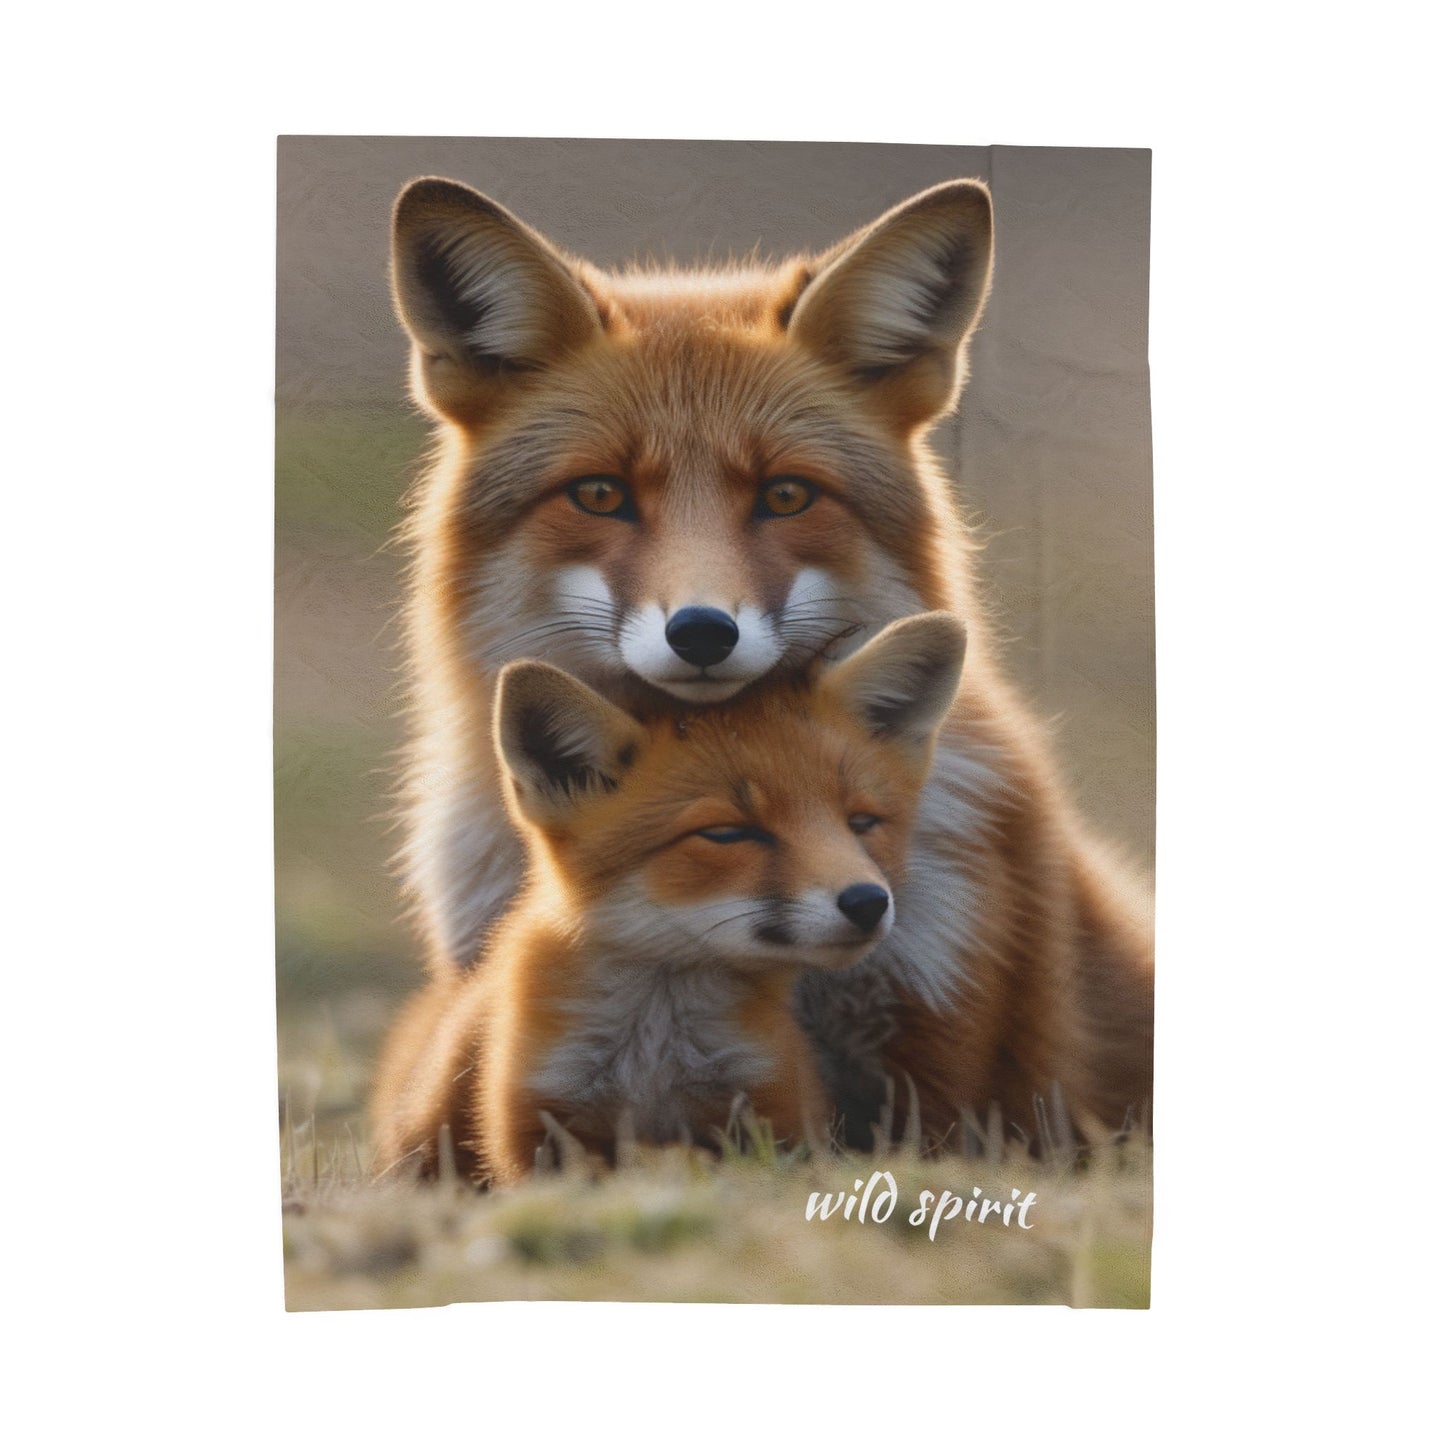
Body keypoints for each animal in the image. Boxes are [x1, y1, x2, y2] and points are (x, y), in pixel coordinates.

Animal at [371, 613, 967, 1184]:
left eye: (862, 823)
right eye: (728, 833)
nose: (868, 902)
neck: (655, 1054)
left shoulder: (774, 1111)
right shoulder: (539, 1125)